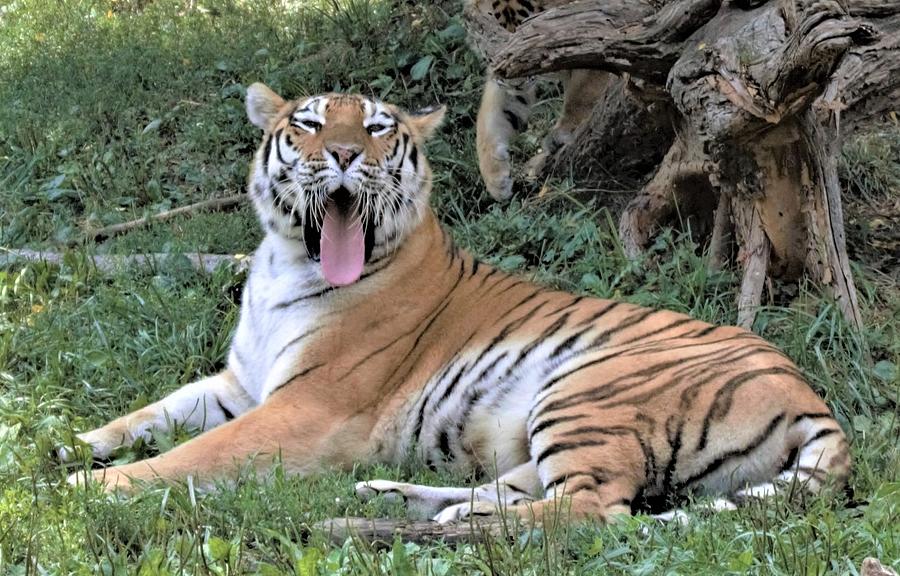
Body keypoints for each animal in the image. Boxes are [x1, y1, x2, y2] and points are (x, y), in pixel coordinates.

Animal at [63, 83, 852, 528]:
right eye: (310, 125)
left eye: (377, 128)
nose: (344, 155)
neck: (283, 263)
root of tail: (809, 393)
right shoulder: (242, 382)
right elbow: (155, 413)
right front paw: (72, 444)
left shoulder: (303, 406)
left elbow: (193, 454)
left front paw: (87, 489)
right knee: (519, 494)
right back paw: (394, 499)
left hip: (586, 392)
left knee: (589, 514)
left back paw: (432, 529)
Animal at [468, 0, 608, 200]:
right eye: (493, 44)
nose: (516, 84)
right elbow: (489, 118)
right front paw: (495, 178)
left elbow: (581, 95)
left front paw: (564, 132)